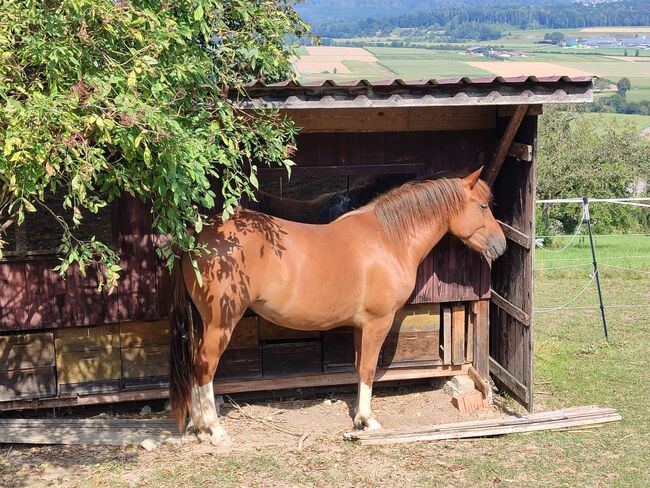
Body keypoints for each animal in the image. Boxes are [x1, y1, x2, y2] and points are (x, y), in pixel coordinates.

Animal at [170, 166, 504, 444]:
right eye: (482, 206)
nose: (501, 245)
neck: (389, 239)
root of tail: (196, 237)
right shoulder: (378, 322)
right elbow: (368, 368)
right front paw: (368, 420)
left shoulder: (361, 325)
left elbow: (358, 367)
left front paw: (358, 418)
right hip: (220, 323)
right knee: (205, 366)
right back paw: (213, 429)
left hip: (203, 323)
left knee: (196, 365)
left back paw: (199, 426)